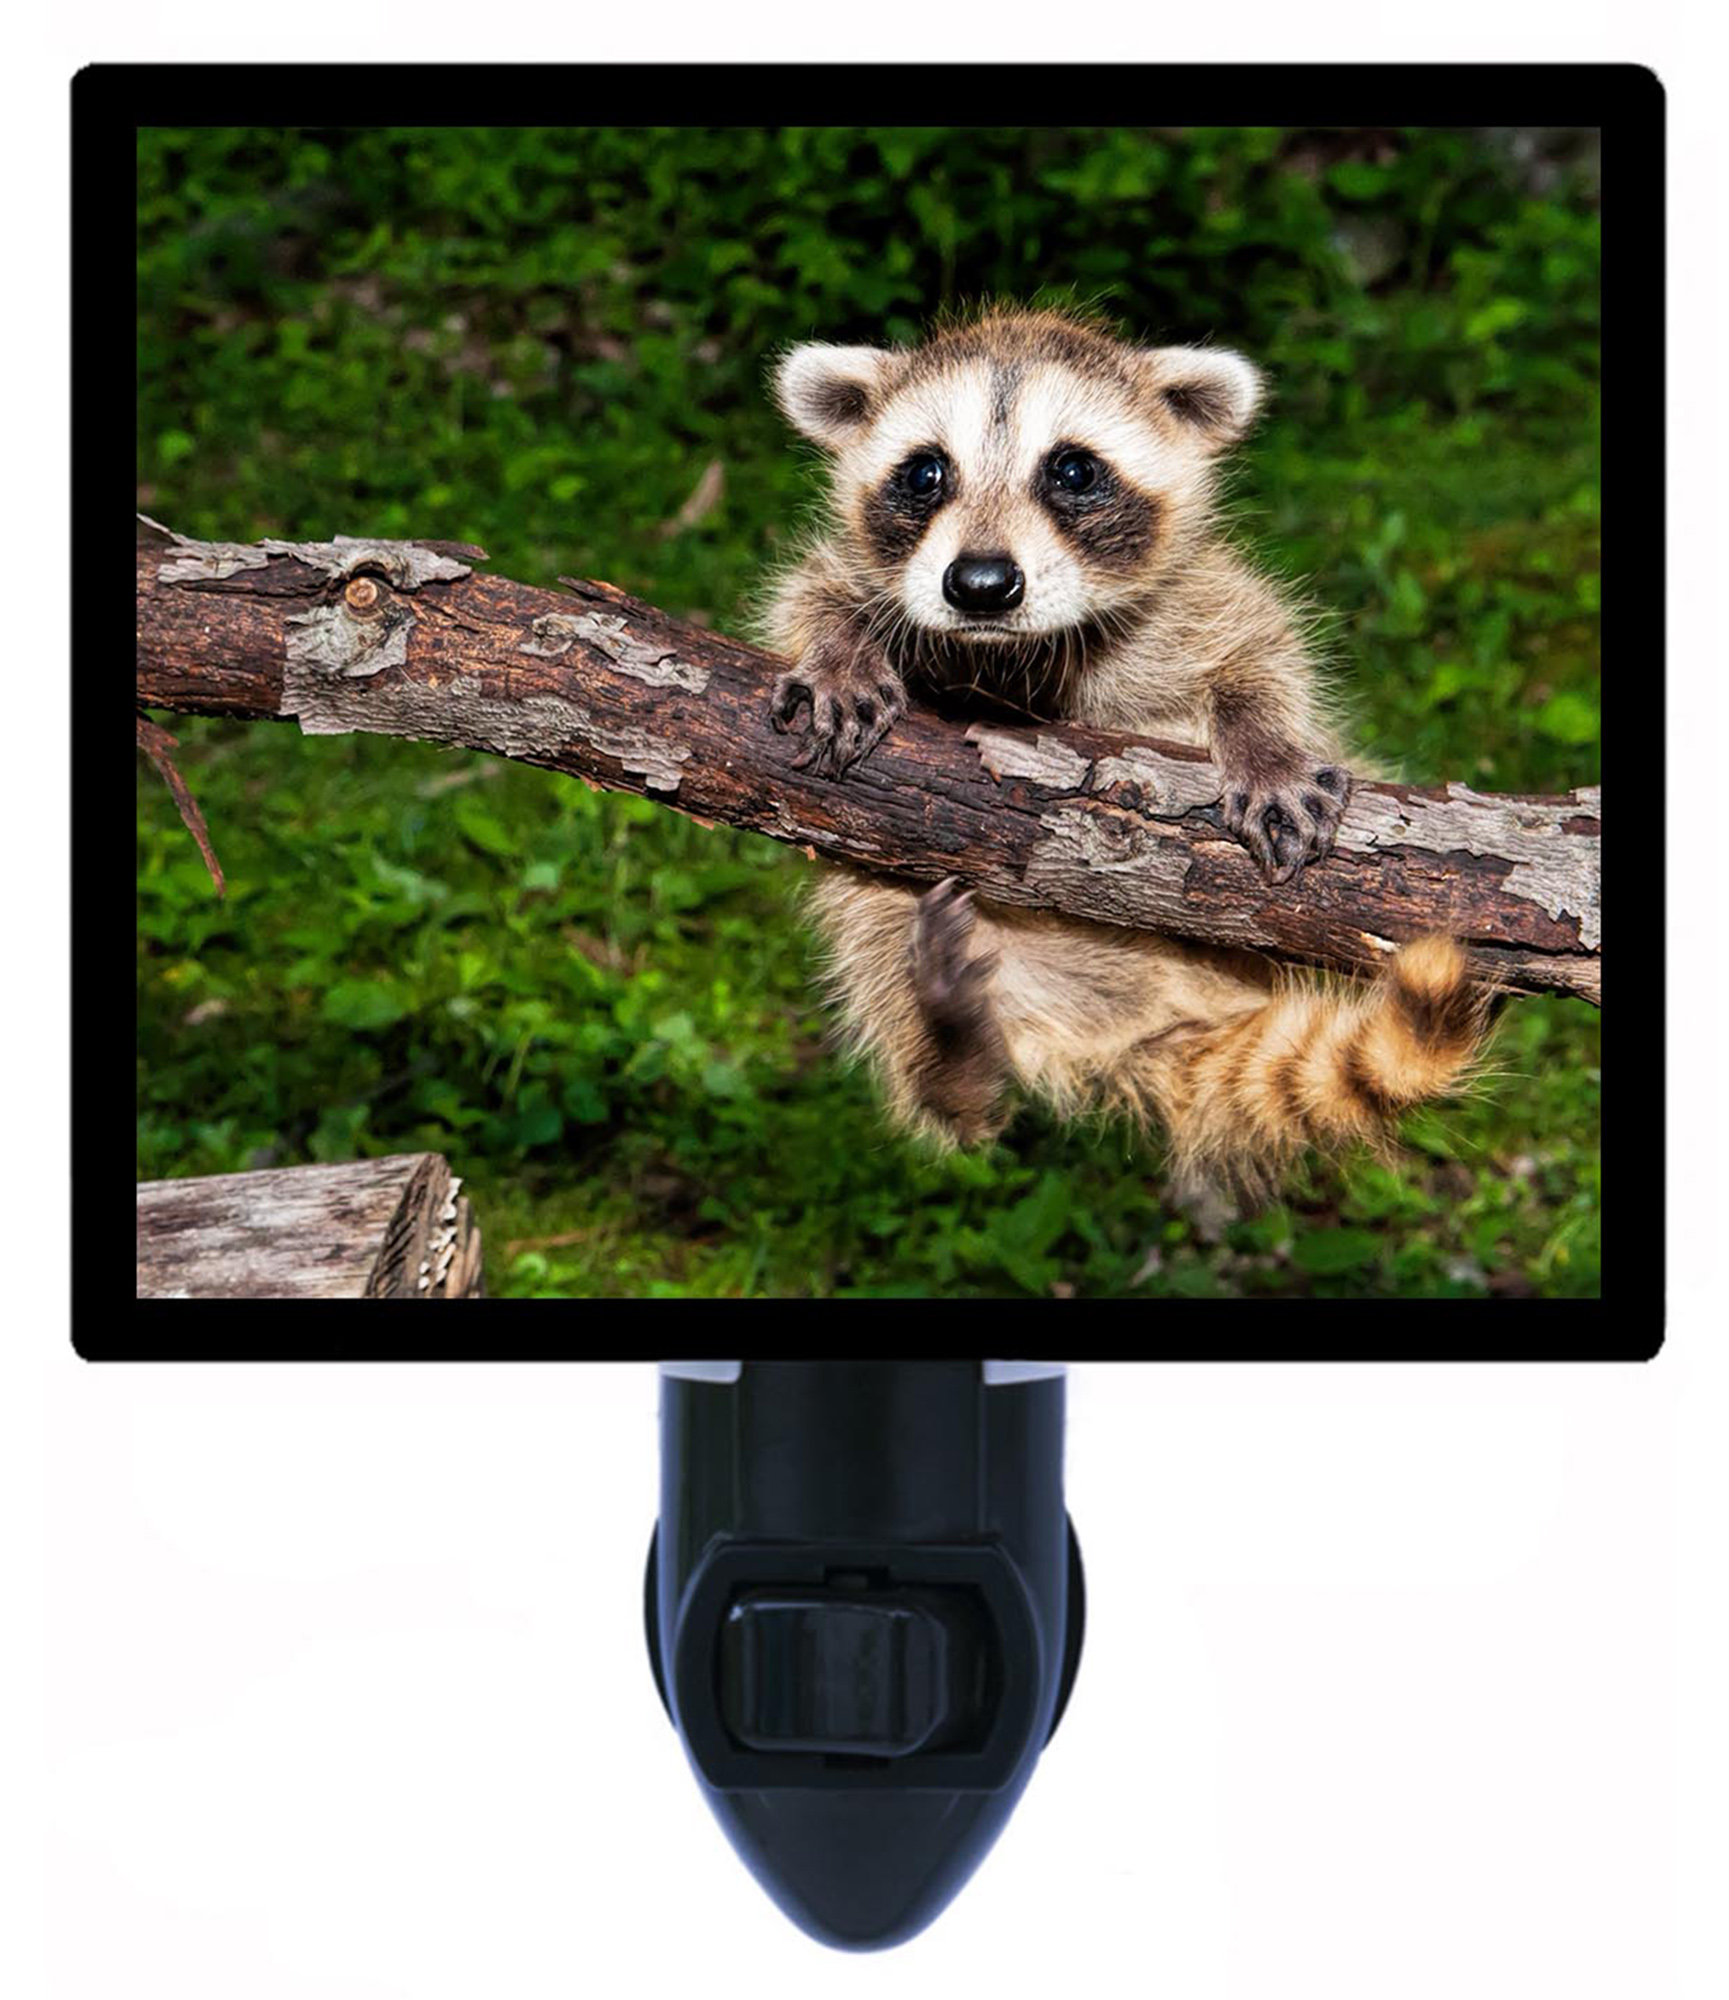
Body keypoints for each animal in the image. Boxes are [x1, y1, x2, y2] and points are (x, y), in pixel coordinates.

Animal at [760, 308, 1487, 1211]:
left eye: (1072, 469)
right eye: (924, 471)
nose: (980, 583)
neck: (1010, 649)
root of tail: (1152, 1019)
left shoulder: (1199, 595)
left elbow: (1260, 651)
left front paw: (1264, 743)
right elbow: (810, 590)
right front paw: (838, 652)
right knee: (882, 953)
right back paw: (950, 1051)